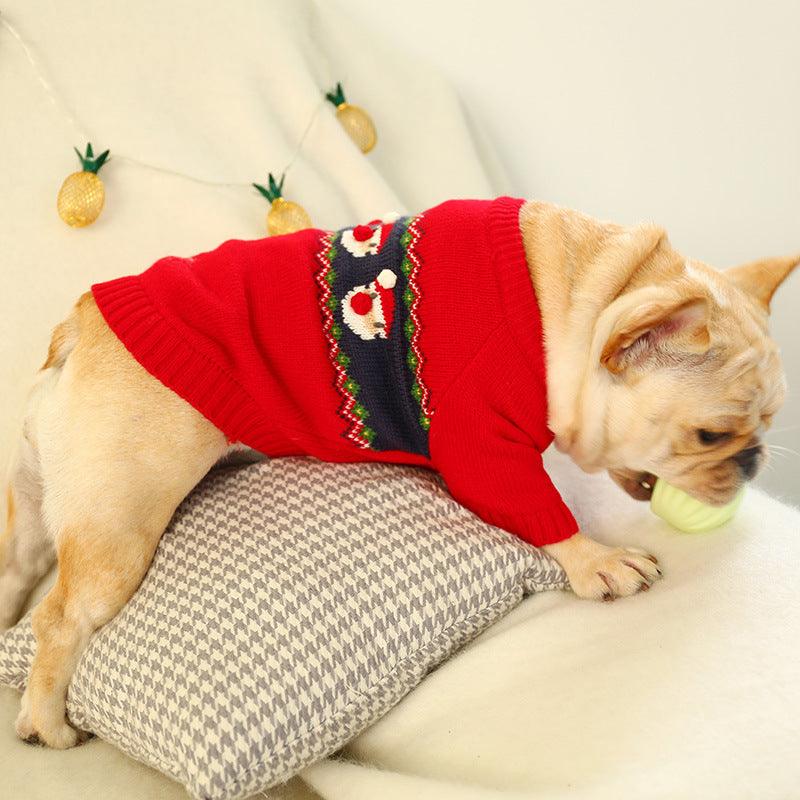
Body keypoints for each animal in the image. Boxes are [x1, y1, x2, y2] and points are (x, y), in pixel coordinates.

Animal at [0, 197, 792, 748]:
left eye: (768, 423)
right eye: (710, 435)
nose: (750, 461)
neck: (575, 299)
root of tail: (78, 327)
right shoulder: (480, 447)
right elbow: (537, 508)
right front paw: (596, 560)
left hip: (38, 508)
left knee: (19, 572)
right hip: (119, 525)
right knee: (60, 615)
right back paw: (46, 723)